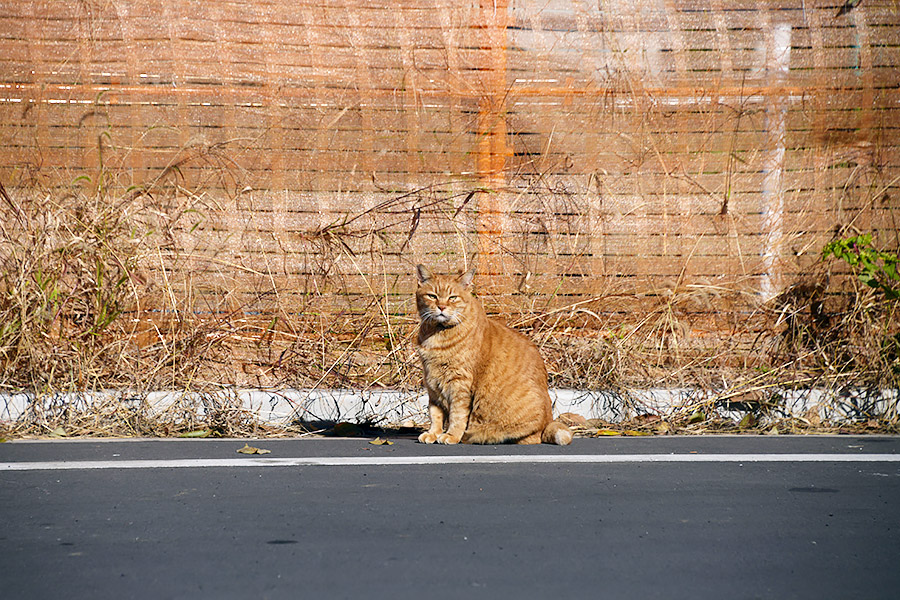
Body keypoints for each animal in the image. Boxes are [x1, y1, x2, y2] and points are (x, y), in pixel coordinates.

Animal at [414, 264, 568, 442]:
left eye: (453, 298)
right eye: (432, 296)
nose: (442, 307)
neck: (437, 333)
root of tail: (548, 422)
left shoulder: (460, 384)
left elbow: (456, 415)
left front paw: (451, 435)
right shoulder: (432, 383)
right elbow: (435, 414)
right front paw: (434, 433)